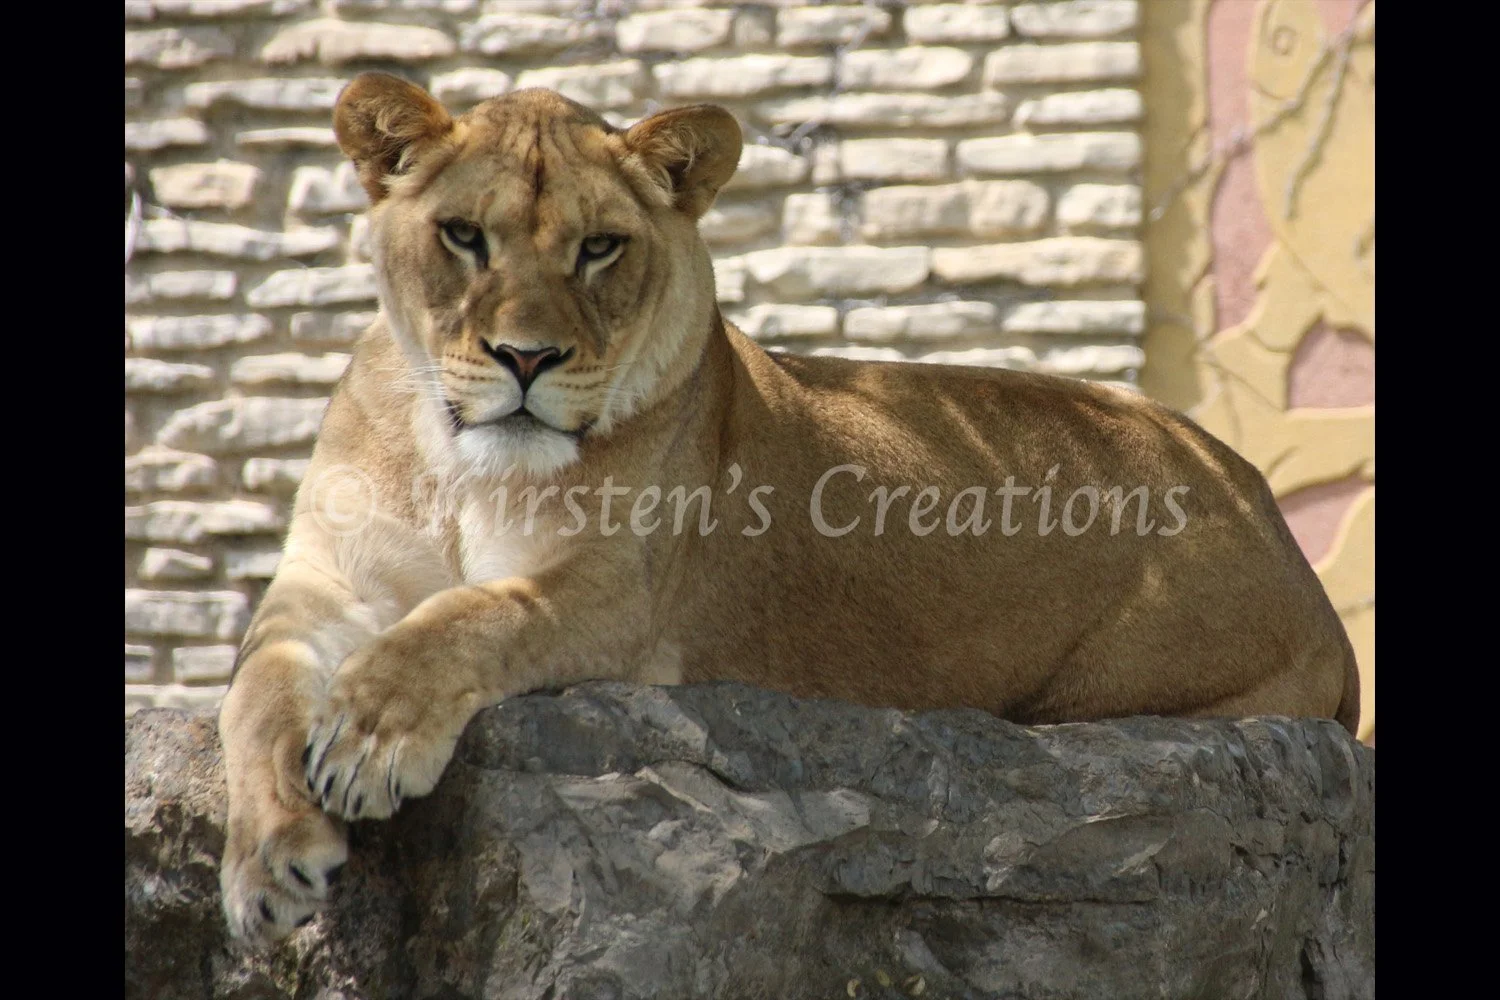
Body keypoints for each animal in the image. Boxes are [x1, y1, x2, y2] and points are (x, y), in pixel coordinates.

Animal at [218, 74, 1359, 946]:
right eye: (462, 237)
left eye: (599, 248)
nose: (526, 359)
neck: (458, 467)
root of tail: (1265, 501)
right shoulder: (324, 583)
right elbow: (256, 690)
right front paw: (269, 860)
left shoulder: (619, 596)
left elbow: (471, 616)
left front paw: (369, 736)